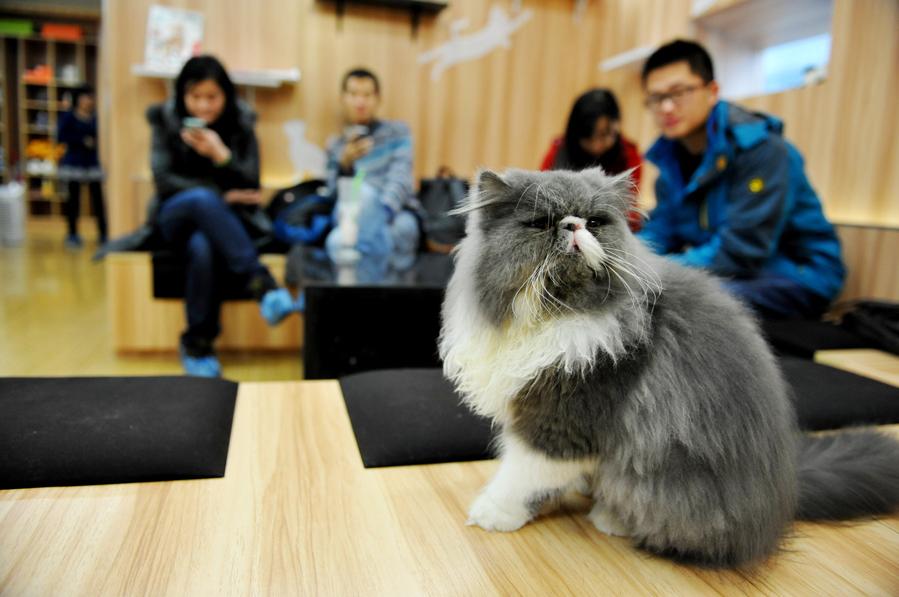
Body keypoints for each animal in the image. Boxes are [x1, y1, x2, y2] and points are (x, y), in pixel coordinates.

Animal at [442, 165, 899, 564]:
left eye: (595, 221)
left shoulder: (561, 422)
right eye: (541, 223)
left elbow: (520, 477)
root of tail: (784, 490)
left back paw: (610, 519)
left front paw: (493, 513)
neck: (555, 314)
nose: (573, 226)